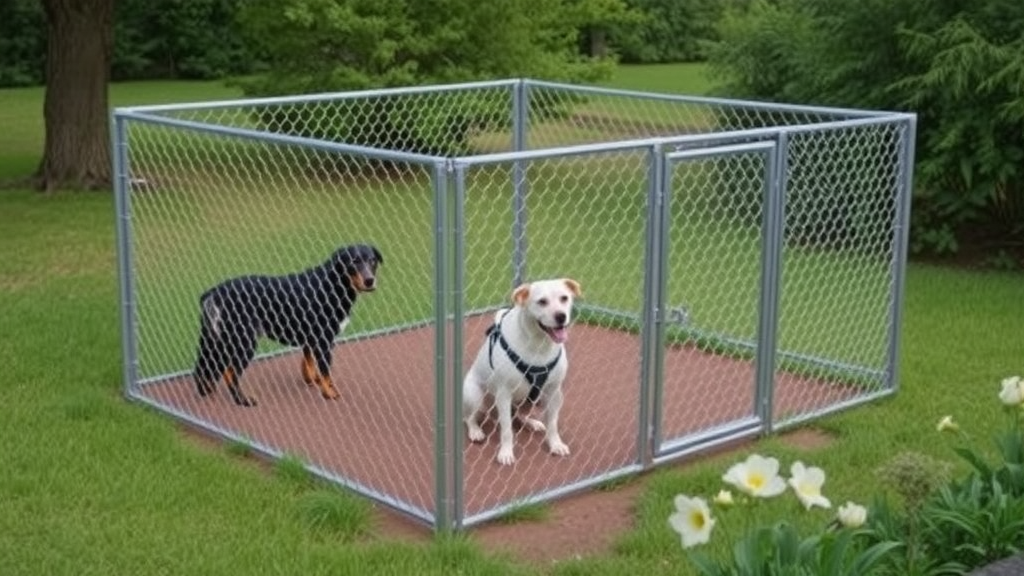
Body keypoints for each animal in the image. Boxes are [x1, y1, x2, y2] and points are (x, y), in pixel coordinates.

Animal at [193, 241, 382, 403]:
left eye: (372, 261)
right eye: (354, 261)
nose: (369, 280)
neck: (333, 284)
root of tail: (214, 292)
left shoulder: (310, 339)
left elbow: (309, 364)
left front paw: (313, 381)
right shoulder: (323, 341)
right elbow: (325, 371)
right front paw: (328, 393)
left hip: (214, 341)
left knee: (203, 368)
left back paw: (206, 391)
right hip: (243, 342)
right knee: (230, 373)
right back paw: (243, 400)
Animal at [460, 276, 581, 463]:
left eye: (564, 298)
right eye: (542, 301)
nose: (561, 316)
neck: (539, 344)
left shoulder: (554, 392)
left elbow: (553, 423)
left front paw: (555, 444)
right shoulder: (504, 394)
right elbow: (507, 430)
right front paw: (506, 452)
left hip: (536, 399)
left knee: (519, 415)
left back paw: (532, 422)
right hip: (475, 395)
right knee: (470, 417)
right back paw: (475, 431)